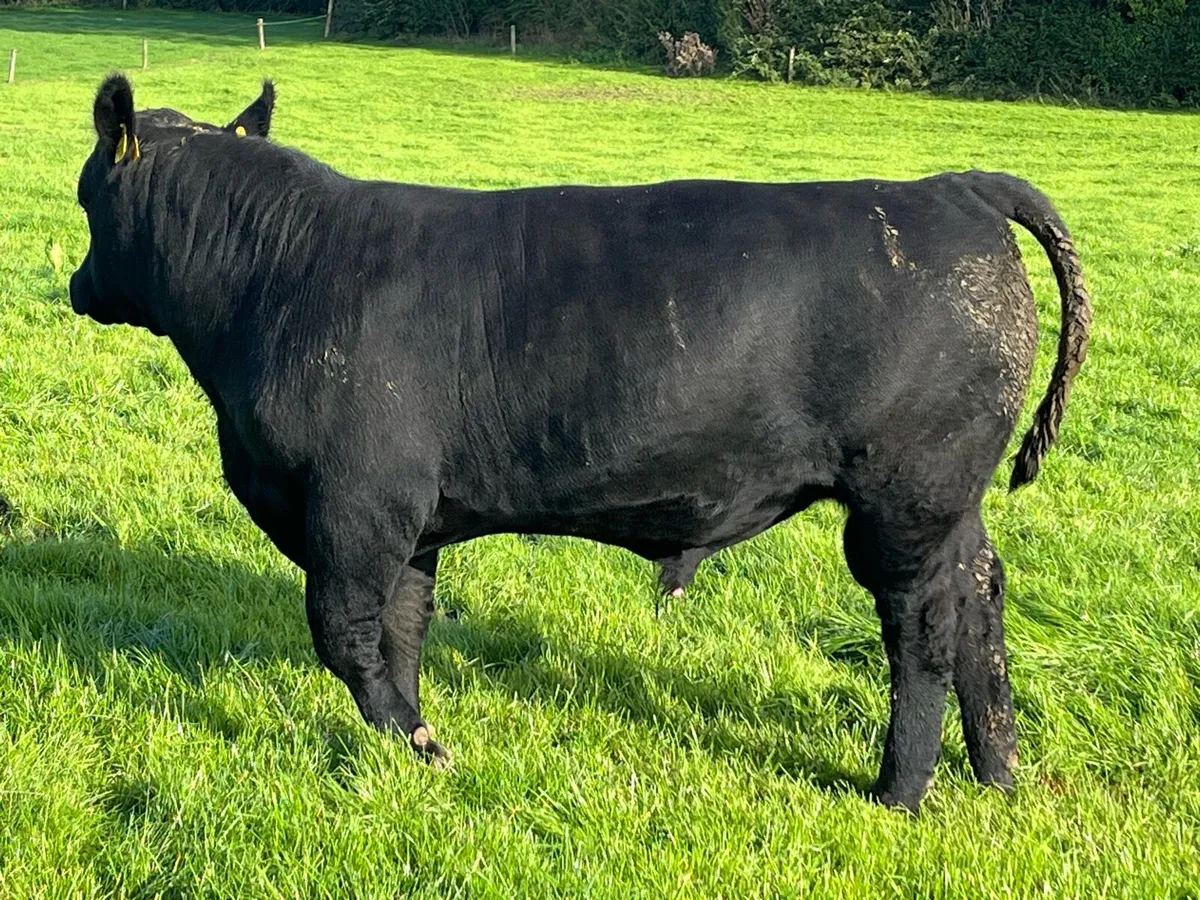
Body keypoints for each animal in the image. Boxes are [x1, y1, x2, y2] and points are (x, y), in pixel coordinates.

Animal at [69, 74, 1091, 813]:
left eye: (85, 202)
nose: (77, 285)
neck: (275, 277)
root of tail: (950, 186)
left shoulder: (355, 503)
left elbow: (347, 636)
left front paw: (422, 743)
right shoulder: (412, 516)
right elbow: (402, 630)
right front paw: (406, 740)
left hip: (905, 499)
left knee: (924, 627)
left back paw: (899, 790)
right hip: (951, 503)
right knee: (983, 599)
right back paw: (997, 770)